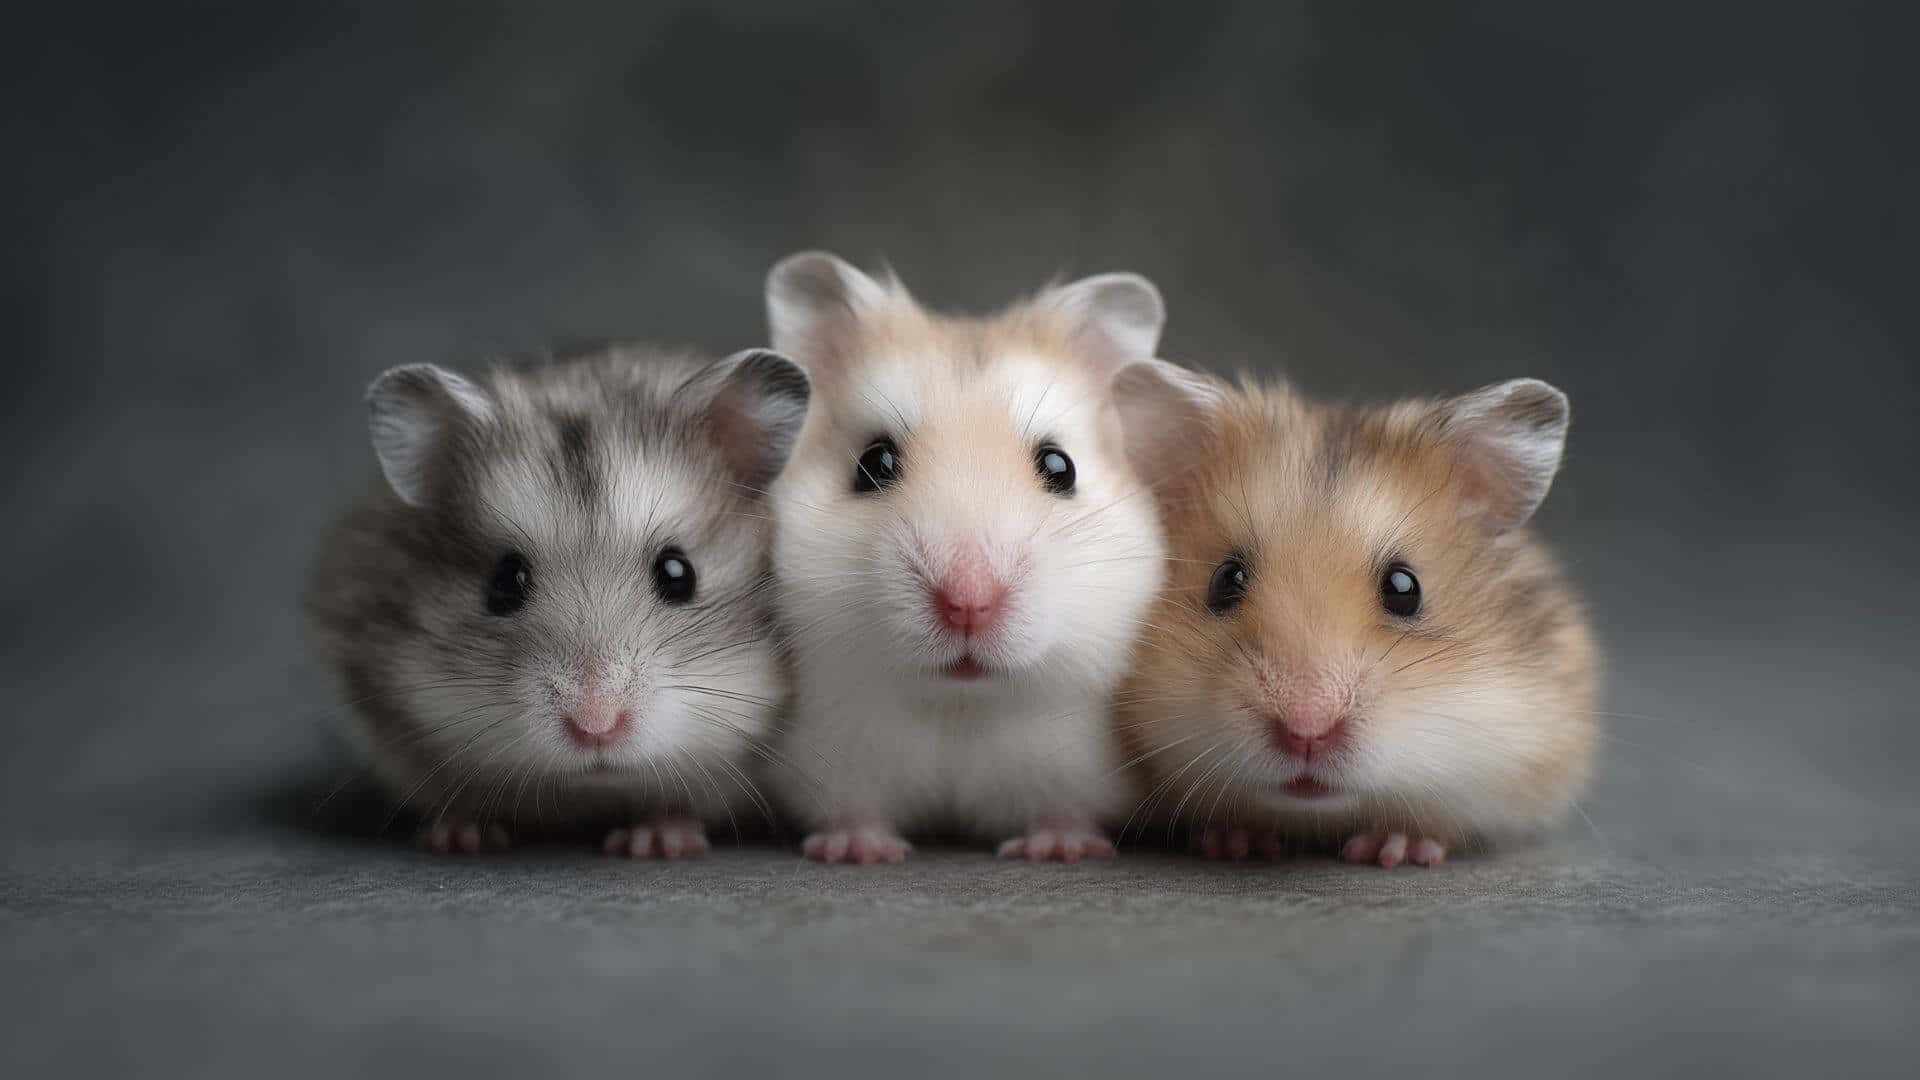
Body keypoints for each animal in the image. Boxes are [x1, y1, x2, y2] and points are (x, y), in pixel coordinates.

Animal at [761, 252, 1213, 863]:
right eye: (873, 463)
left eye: (1060, 467)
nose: (968, 604)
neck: (961, 705)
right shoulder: (834, 749)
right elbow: (851, 806)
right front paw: (857, 851)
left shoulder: (1070, 759)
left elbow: (1062, 807)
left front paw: (1059, 849)